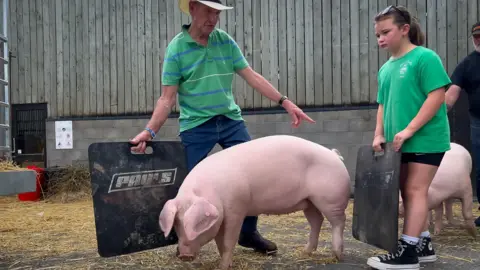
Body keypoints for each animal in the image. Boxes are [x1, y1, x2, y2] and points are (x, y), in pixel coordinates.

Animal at [158, 135, 348, 270]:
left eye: (196, 225)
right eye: (176, 223)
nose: (184, 255)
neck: (213, 193)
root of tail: (334, 154)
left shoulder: (236, 210)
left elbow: (228, 241)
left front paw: (223, 267)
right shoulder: (222, 217)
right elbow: (220, 242)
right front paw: (225, 264)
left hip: (331, 199)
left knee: (339, 221)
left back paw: (337, 255)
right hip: (309, 201)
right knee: (317, 220)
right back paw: (305, 251)